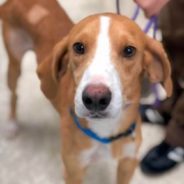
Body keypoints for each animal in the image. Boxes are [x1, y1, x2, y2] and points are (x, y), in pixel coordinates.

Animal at [37, 13, 172, 184]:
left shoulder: (128, 162)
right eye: (78, 47)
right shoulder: (75, 170)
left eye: (129, 50)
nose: (95, 98)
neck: (106, 131)